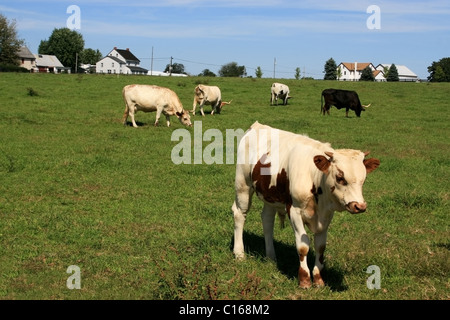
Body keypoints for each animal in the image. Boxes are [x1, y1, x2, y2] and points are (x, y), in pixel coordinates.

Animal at [232, 122, 380, 288]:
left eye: (363, 179)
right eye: (340, 177)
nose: (359, 206)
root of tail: (257, 125)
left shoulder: (326, 214)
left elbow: (320, 246)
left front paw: (319, 279)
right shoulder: (294, 210)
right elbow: (303, 247)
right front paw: (304, 280)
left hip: (269, 194)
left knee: (267, 220)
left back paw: (271, 257)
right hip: (243, 184)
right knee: (239, 214)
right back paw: (239, 254)